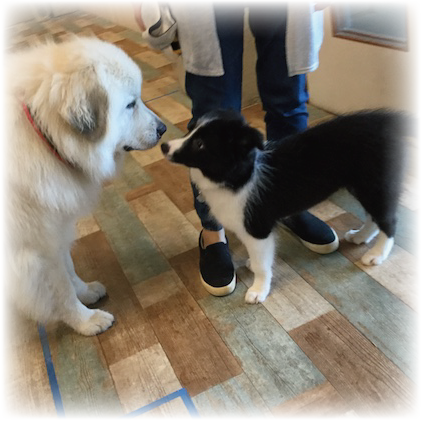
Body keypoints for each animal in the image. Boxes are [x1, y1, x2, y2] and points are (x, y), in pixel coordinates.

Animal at [2, 38, 166, 334]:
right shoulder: (38, 248)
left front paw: (86, 291)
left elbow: (69, 270)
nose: (163, 129)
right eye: (130, 105)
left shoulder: (56, 229)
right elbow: (62, 291)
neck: (42, 133)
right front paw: (85, 321)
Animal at [161, 109, 420, 302]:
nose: (164, 146)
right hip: (365, 184)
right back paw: (361, 237)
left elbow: (262, 263)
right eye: (190, 130)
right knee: (375, 217)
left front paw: (258, 290)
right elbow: (258, 258)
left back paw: (377, 255)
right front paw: (254, 269)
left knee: (388, 220)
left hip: (376, 182)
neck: (238, 176)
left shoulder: (257, 227)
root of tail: (390, 123)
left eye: (200, 144)